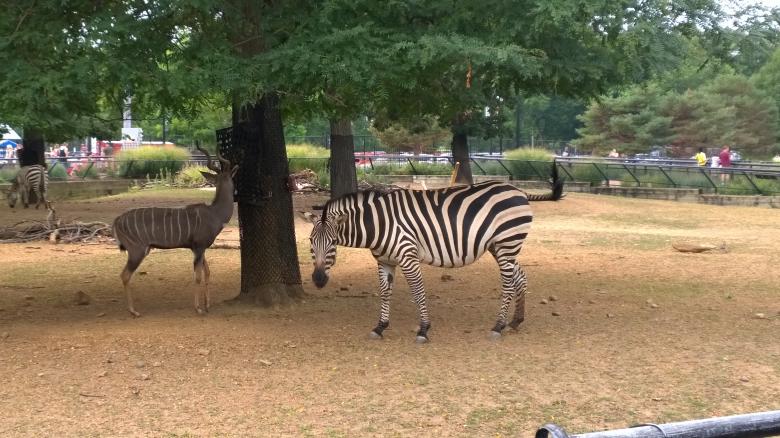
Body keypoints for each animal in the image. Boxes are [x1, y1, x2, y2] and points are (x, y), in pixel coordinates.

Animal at [304, 164, 564, 343]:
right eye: (310, 242)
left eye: (333, 243)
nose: (318, 280)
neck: (379, 224)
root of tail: (519, 190)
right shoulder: (385, 261)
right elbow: (385, 293)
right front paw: (380, 327)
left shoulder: (407, 256)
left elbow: (418, 293)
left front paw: (423, 329)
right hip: (500, 247)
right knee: (521, 276)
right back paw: (516, 321)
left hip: (506, 243)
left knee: (509, 283)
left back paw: (498, 326)